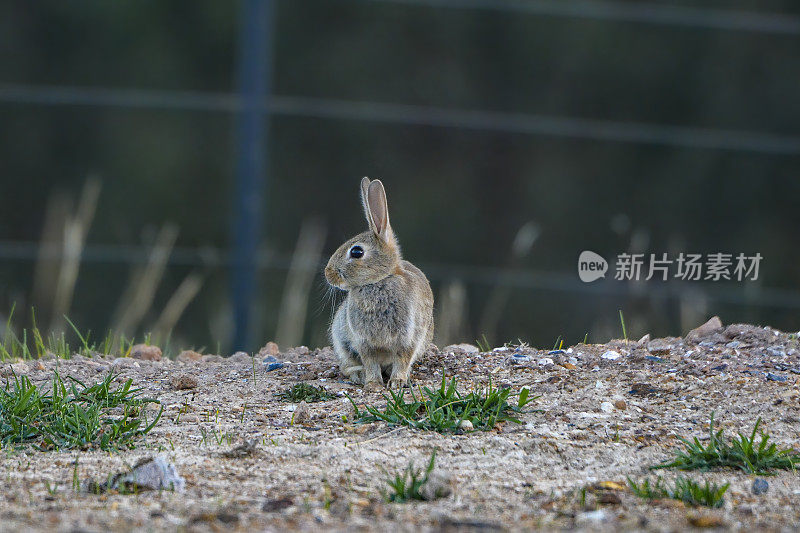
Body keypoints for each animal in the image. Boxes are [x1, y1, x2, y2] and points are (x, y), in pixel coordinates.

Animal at [324, 177, 434, 388]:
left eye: (356, 252)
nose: (328, 274)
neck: (380, 280)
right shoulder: (363, 341)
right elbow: (370, 362)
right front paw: (373, 384)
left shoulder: (409, 337)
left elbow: (403, 359)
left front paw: (397, 382)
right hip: (340, 338)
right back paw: (358, 375)